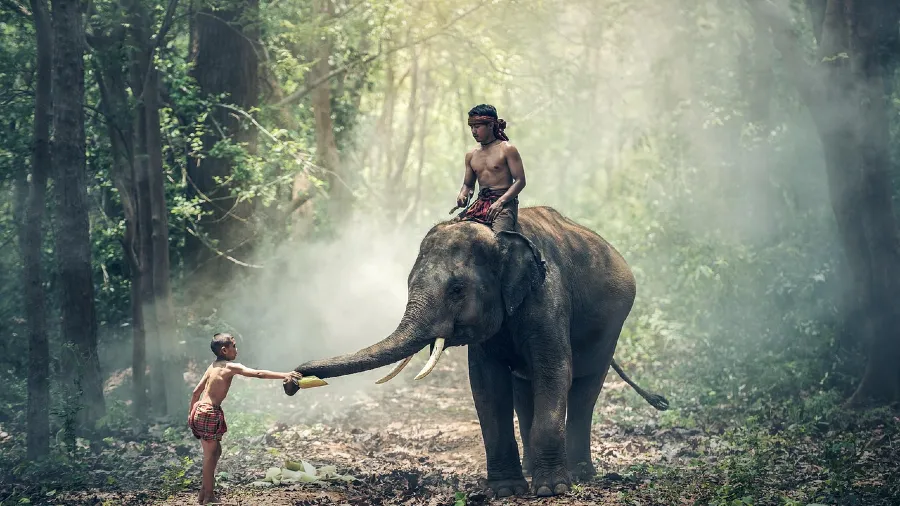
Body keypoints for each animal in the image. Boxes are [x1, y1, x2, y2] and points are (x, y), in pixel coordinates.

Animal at [283, 205, 669, 497]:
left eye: (456, 289)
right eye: (408, 284)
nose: (291, 381)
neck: (499, 237)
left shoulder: (548, 298)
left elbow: (555, 370)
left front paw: (551, 490)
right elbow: (486, 384)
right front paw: (507, 490)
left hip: (612, 327)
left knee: (585, 389)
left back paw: (580, 474)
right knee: (524, 391)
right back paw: (533, 470)